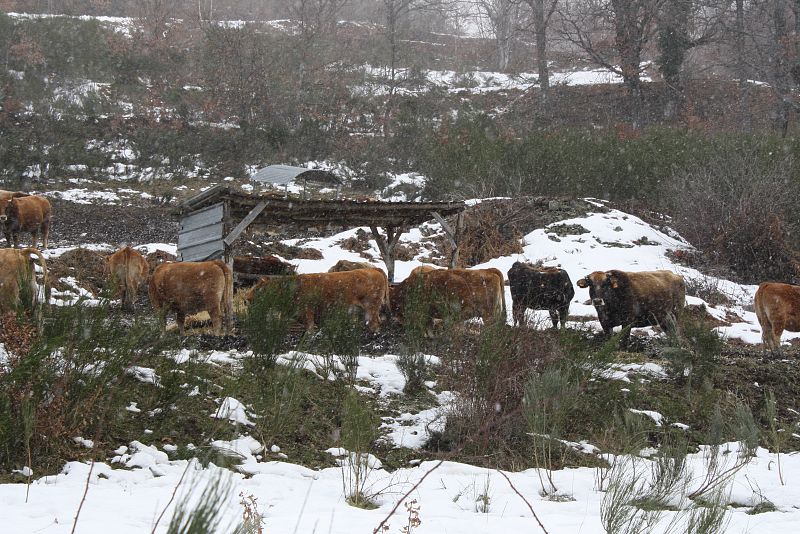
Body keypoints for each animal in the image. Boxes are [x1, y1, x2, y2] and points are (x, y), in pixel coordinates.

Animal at [247, 270, 390, 332]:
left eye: (259, 291)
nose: (247, 298)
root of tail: (374, 269)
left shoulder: (307, 312)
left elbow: (310, 329)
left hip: (371, 308)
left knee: (374, 323)